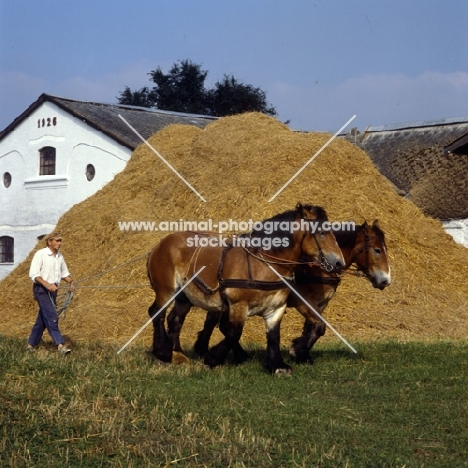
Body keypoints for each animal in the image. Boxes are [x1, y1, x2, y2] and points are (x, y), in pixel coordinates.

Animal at [148, 203, 346, 374]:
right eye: (321, 232)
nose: (339, 263)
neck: (265, 262)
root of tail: (160, 244)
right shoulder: (238, 305)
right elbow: (233, 332)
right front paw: (212, 359)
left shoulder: (277, 307)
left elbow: (274, 336)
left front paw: (277, 365)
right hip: (166, 290)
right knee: (157, 313)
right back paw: (162, 354)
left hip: (184, 297)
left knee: (175, 319)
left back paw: (177, 354)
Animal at [190, 221, 392, 364]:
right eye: (377, 250)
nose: (385, 280)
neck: (318, 268)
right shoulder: (303, 301)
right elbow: (320, 326)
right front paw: (297, 349)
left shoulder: (320, 304)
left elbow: (313, 327)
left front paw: (304, 354)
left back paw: (206, 349)